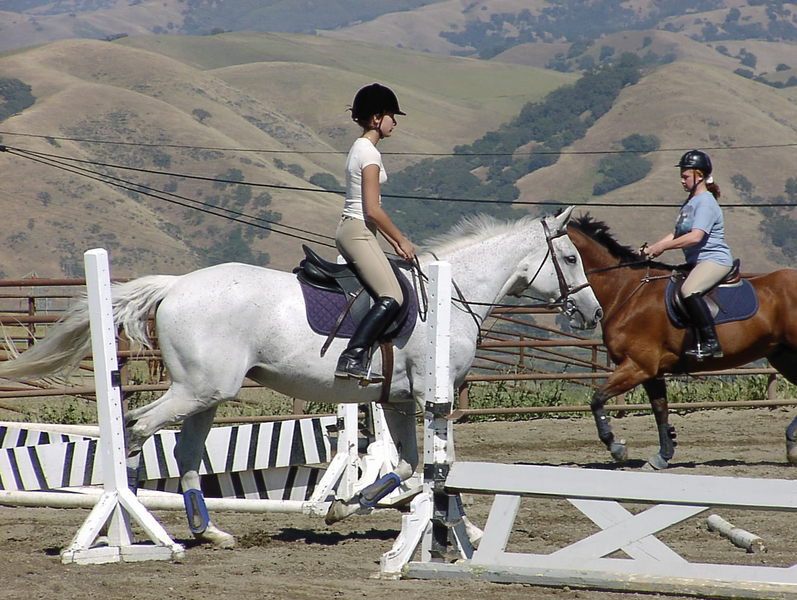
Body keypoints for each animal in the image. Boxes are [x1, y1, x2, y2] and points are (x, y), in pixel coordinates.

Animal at [0, 206, 602, 547]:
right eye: (572, 259)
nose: (592, 314)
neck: (452, 294)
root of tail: (176, 285)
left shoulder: (400, 401)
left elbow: (413, 466)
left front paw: (361, 507)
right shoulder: (436, 398)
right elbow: (436, 464)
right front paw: (447, 525)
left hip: (206, 394)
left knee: (185, 449)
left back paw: (209, 531)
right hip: (198, 389)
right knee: (136, 427)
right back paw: (139, 524)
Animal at [568, 214, 797, 470]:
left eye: (569, 258)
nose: (580, 315)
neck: (625, 291)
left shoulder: (638, 366)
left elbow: (597, 400)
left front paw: (617, 448)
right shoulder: (651, 371)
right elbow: (660, 410)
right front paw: (662, 456)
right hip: (783, 356)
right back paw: (791, 446)